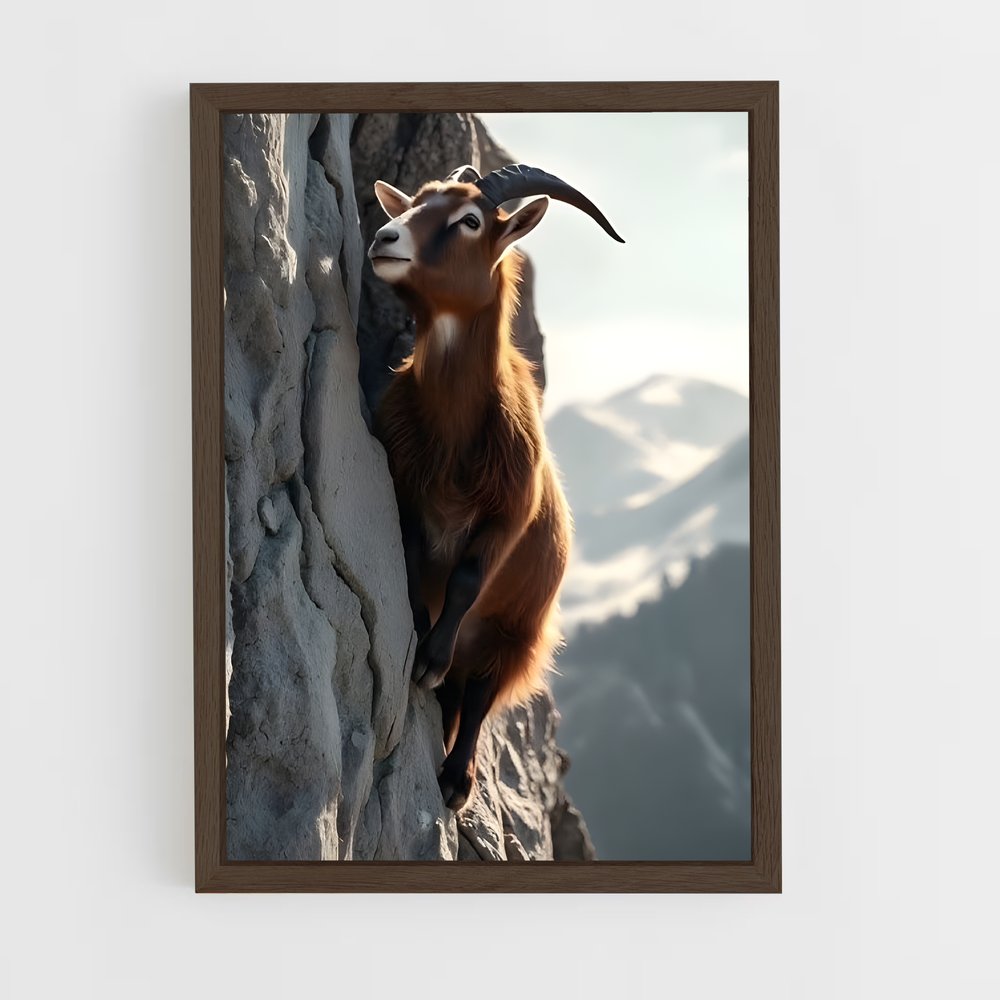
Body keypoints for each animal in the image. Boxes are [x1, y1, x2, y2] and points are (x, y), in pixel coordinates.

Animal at [368, 163, 623, 810]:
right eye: (415, 202)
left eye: (470, 220)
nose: (384, 238)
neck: (456, 433)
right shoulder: (405, 486)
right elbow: (412, 556)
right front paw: (418, 625)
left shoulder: (509, 515)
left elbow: (465, 578)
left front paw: (430, 658)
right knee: (459, 700)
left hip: (513, 636)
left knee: (480, 696)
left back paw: (456, 780)